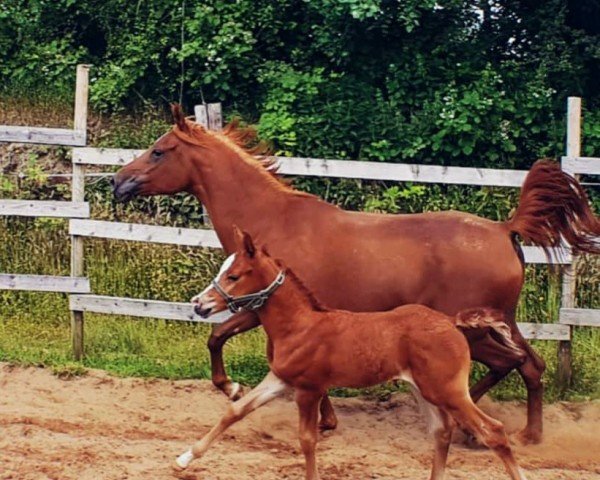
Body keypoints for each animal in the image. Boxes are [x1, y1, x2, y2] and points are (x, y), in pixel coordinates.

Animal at [177, 230, 524, 480]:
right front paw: (183, 459)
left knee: (492, 431)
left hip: (448, 391)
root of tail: (451, 322)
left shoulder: (309, 389)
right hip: (424, 390)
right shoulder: (279, 379)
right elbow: (235, 411)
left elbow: (307, 440)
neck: (300, 325)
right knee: (442, 432)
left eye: (234, 276)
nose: (199, 304)